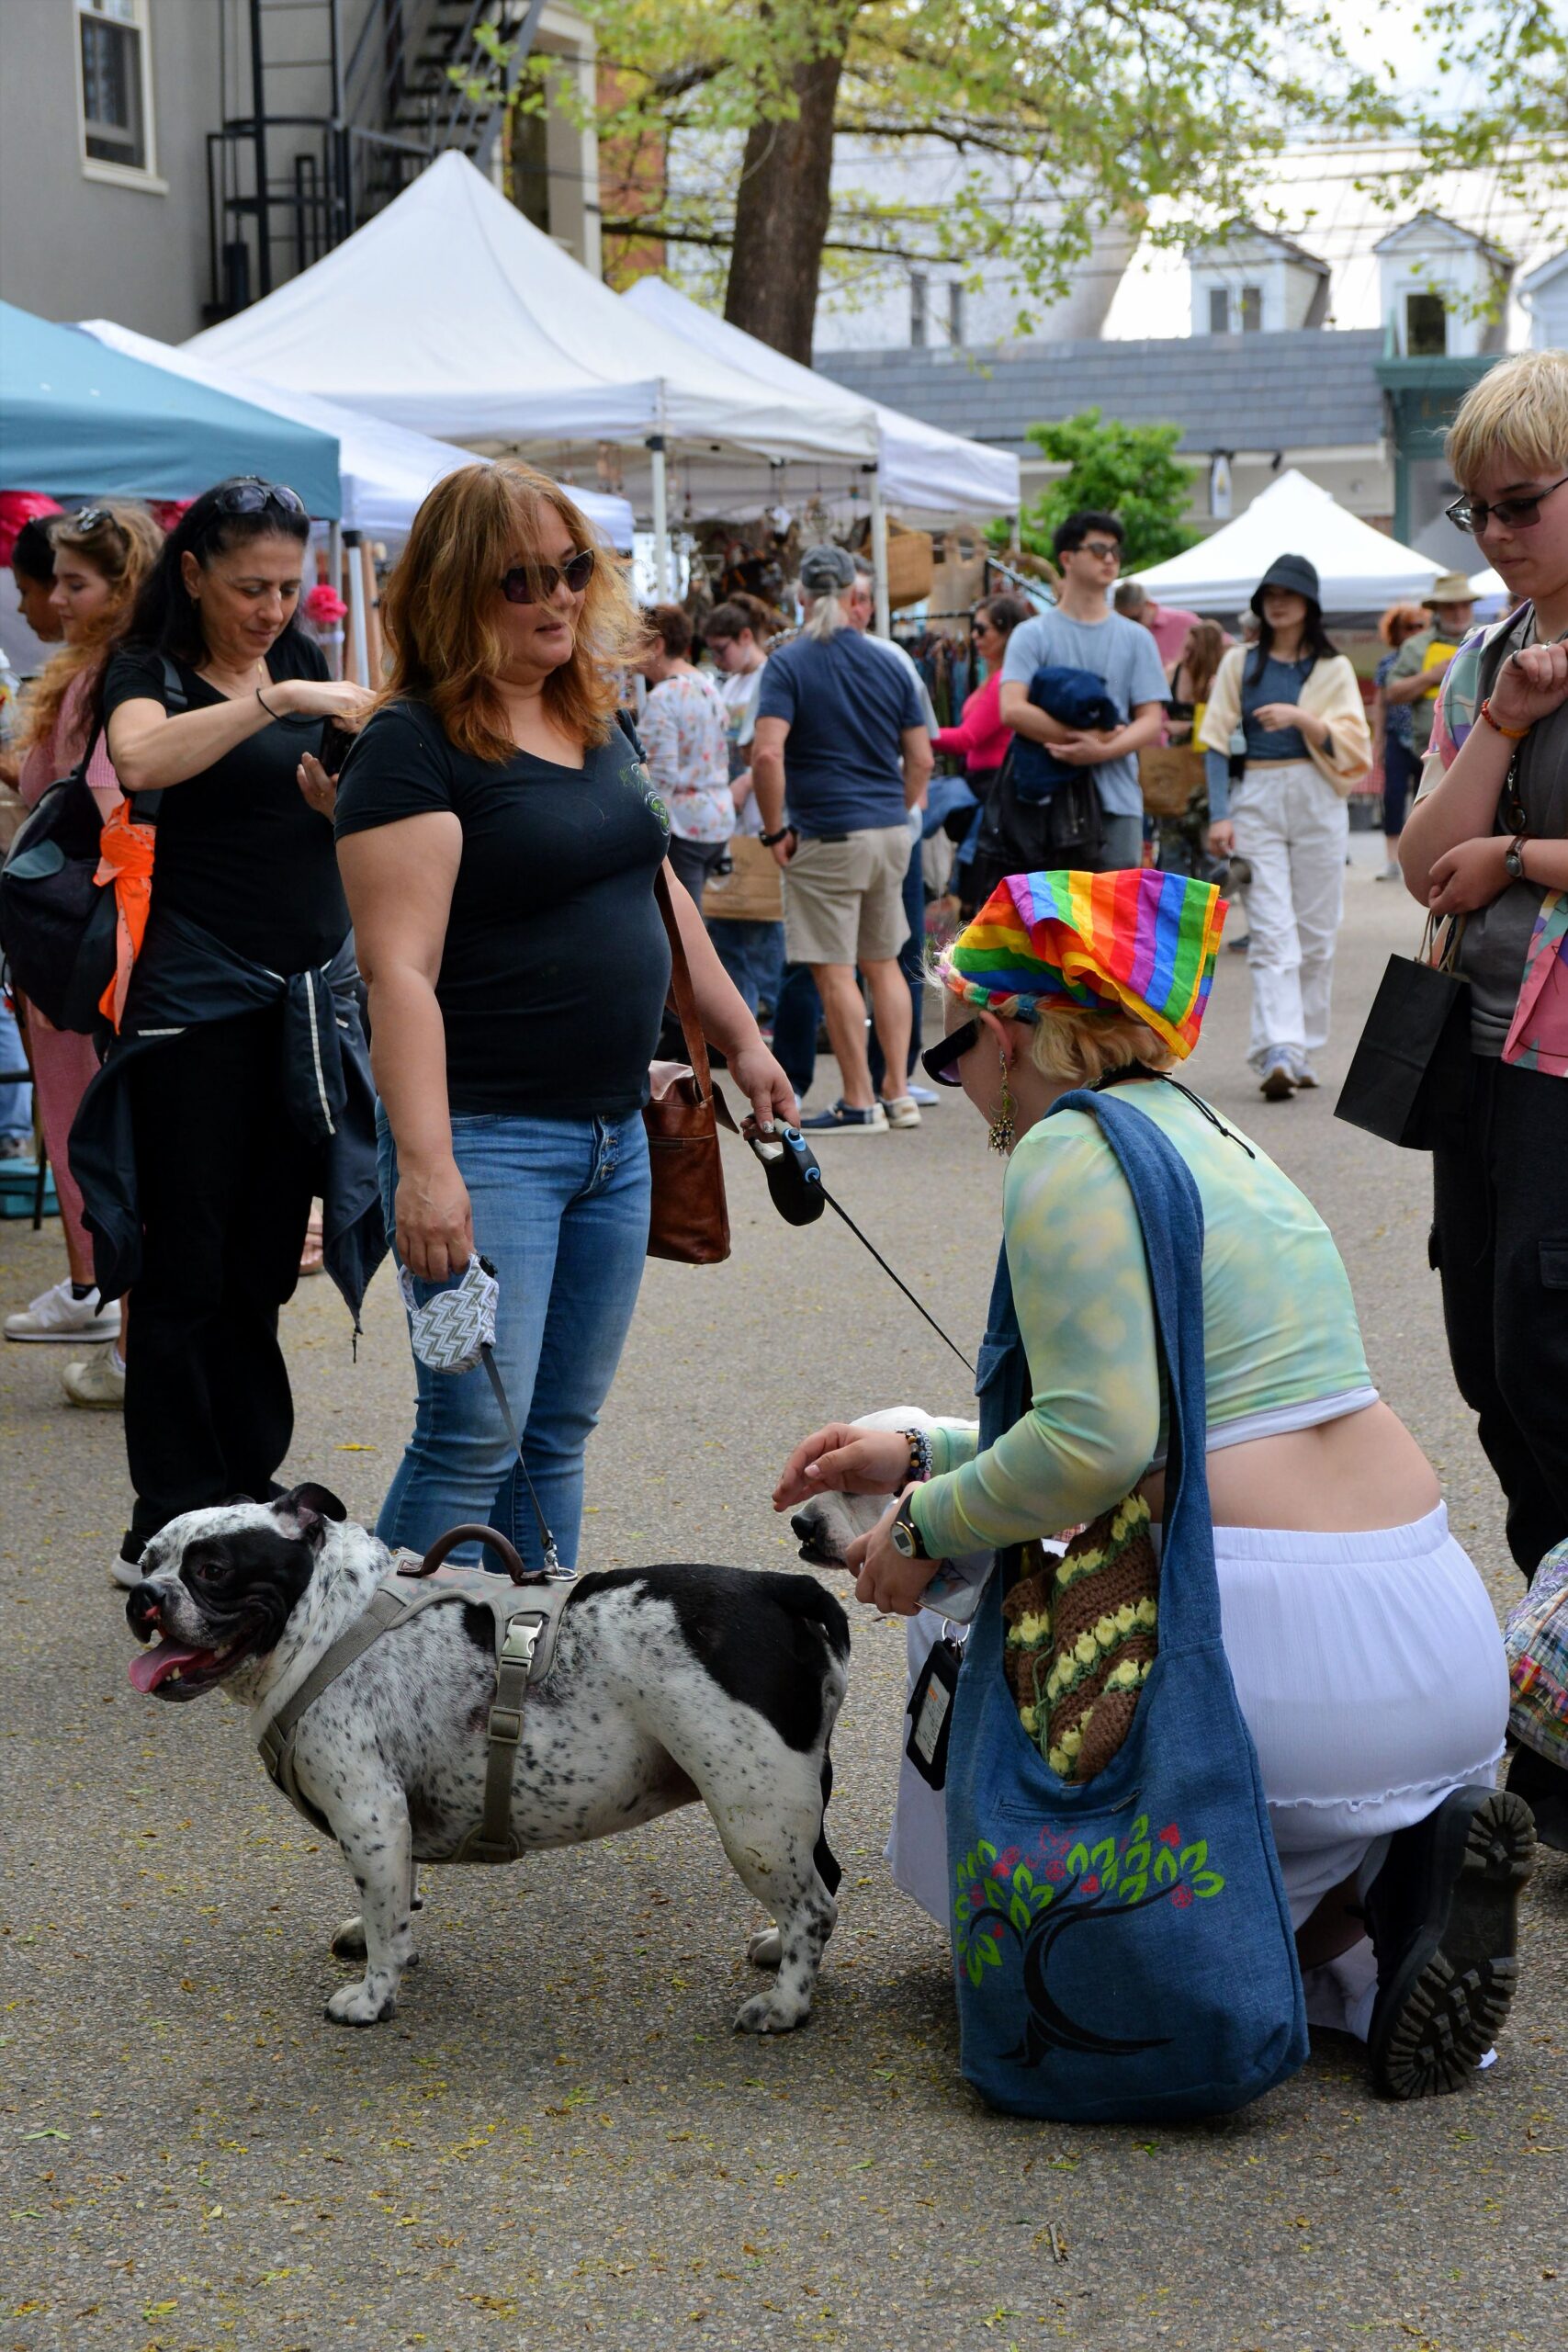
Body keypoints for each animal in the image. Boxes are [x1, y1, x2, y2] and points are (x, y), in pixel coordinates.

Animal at [123, 1496, 851, 2031]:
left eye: (212, 1570)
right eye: (148, 1558)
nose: (145, 1595)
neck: (327, 1621)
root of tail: (779, 1588)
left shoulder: (368, 1815)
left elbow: (386, 1917)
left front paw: (374, 1996)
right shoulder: (390, 1826)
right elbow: (393, 1899)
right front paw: (386, 1938)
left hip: (752, 1818)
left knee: (813, 1905)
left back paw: (786, 2005)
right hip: (783, 1808)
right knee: (820, 1880)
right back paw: (776, 1949)